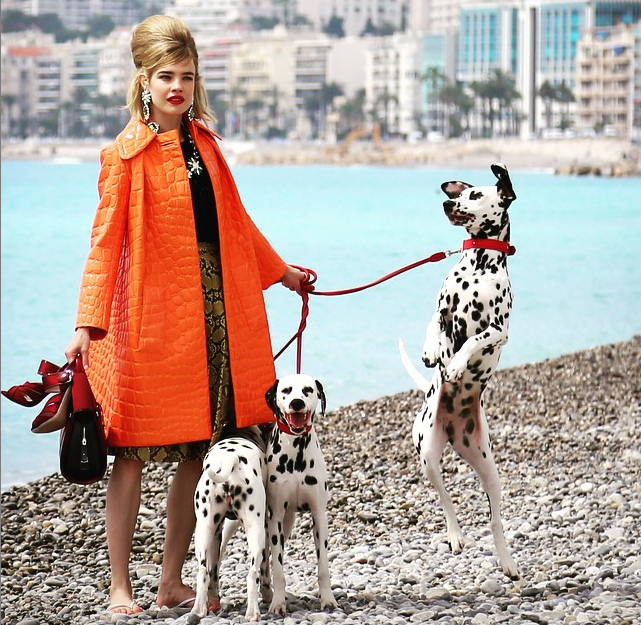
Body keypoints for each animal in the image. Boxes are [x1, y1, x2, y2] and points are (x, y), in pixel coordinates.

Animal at [192, 426, 271, 621]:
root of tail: (230, 458)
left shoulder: (216, 535)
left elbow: (213, 573)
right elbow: (265, 573)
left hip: (204, 530)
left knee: (203, 572)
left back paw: (198, 610)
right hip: (256, 531)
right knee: (253, 574)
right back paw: (253, 613)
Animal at [264, 374, 337, 615]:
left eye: (308, 390)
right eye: (286, 390)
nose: (297, 402)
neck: (296, 453)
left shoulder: (319, 516)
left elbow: (323, 567)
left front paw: (328, 599)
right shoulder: (276, 519)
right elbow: (278, 568)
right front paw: (278, 603)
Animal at [399, 162, 520, 579]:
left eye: (476, 195)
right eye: (462, 193)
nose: (448, 202)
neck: (480, 264)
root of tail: (454, 429)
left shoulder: (497, 331)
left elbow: (472, 342)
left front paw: (454, 364)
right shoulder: (442, 308)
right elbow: (433, 323)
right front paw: (432, 350)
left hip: (490, 471)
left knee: (496, 518)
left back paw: (507, 561)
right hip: (428, 456)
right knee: (445, 497)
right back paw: (454, 535)